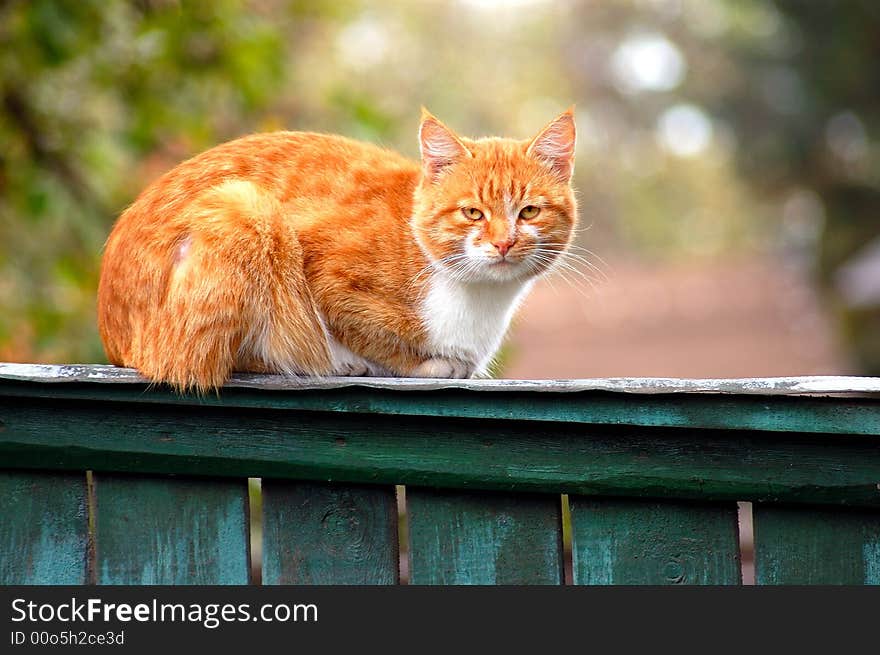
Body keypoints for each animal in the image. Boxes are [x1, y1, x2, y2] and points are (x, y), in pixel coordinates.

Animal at [96, 110, 576, 392]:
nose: (504, 242)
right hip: (245, 209)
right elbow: (369, 333)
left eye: (529, 211)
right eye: (473, 213)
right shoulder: (326, 273)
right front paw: (422, 363)